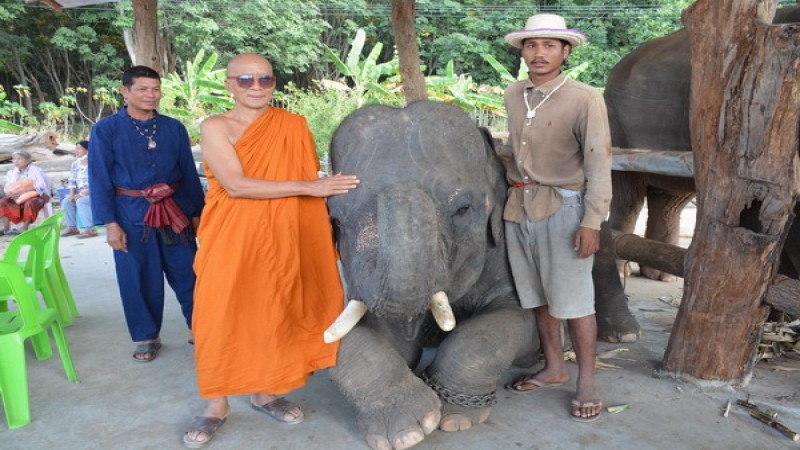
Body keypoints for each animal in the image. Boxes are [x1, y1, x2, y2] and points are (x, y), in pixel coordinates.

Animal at [324, 102, 636, 450]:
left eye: (462, 209)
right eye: (336, 221)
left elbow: (510, 323)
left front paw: (453, 417)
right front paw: (406, 431)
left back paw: (621, 336)